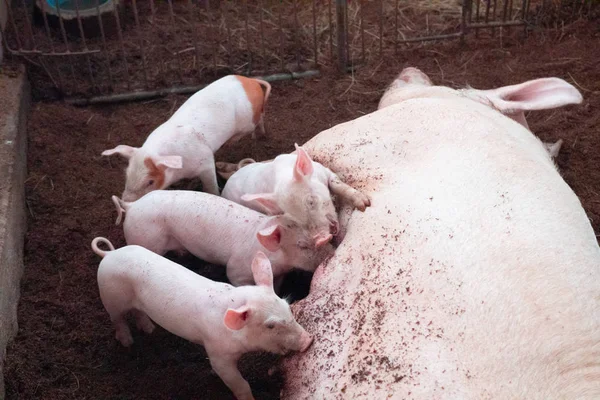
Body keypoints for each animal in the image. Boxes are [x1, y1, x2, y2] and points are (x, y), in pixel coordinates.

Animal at [92, 239, 314, 398]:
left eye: (287, 307)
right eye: (270, 325)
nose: (308, 340)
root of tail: (110, 254)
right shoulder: (217, 353)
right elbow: (239, 383)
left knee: (138, 312)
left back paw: (149, 329)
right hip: (111, 298)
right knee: (118, 320)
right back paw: (128, 343)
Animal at [102, 74, 270, 200]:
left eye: (150, 181)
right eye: (127, 174)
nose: (125, 201)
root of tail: (252, 81)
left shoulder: (206, 161)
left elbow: (211, 186)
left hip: (248, 121)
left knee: (258, 120)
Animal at [112, 191, 332, 288]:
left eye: (312, 230)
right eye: (302, 245)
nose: (331, 251)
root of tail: (132, 206)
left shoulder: (279, 273)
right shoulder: (237, 269)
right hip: (144, 238)